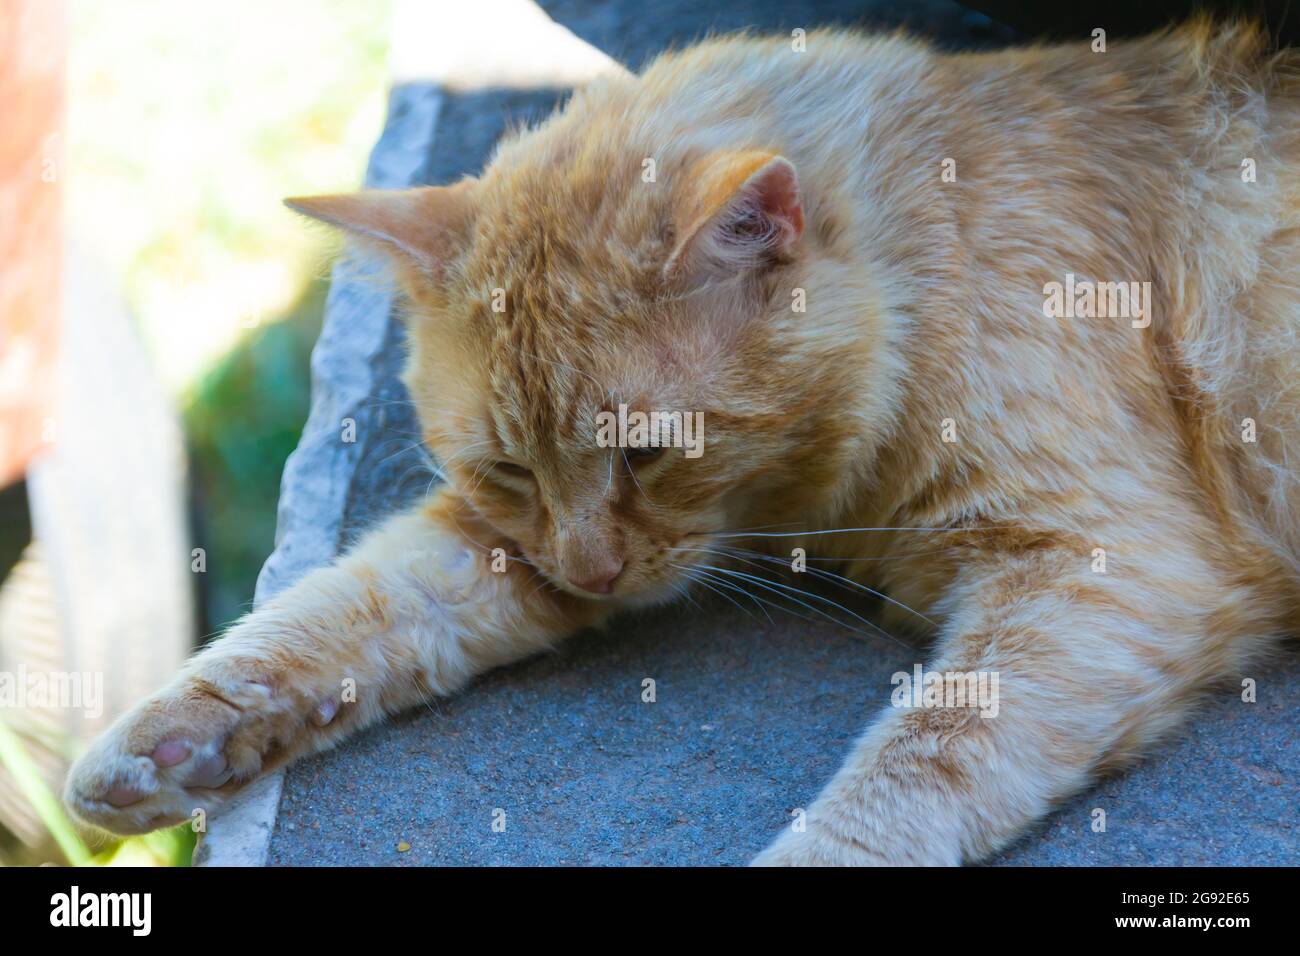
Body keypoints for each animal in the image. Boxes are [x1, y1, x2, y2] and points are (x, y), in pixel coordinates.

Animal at [68, 20, 1300, 868]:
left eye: (649, 452)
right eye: (510, 469)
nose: (590, 570)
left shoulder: (1105, 568)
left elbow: (921, 761)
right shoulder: (498, 543)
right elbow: (347, 609)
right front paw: (175, 738)